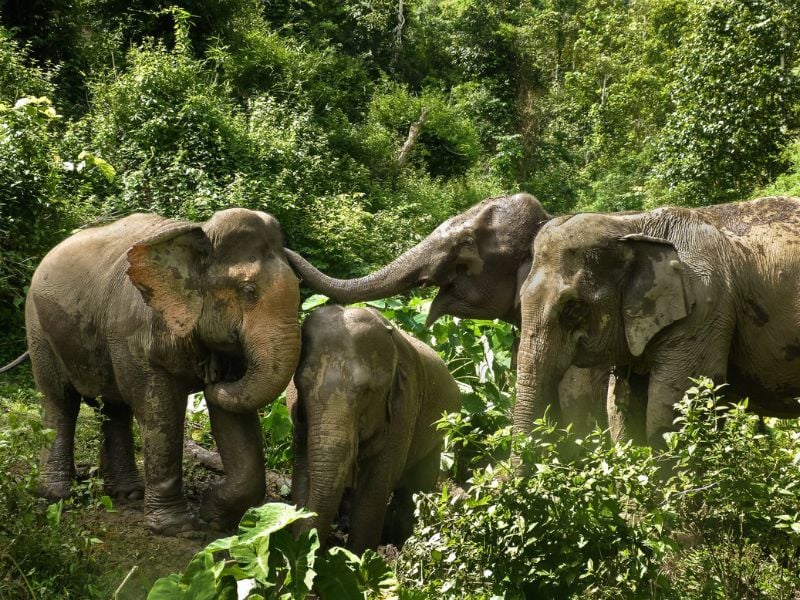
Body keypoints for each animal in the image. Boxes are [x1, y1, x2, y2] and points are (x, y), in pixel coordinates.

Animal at [23, 208, 301, 534]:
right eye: (249, 291)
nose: (210, 377)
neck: (200, 235)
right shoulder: (137, 331)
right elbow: (158, 409)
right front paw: (180, 528)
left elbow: (232, 416)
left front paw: (213, 518)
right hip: (39, 327)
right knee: (60, 400)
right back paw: (57, 495)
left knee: (114, 407)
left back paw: (128, 493)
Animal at [288, 305, 461, 552]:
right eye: (300, 384)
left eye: (367, 391)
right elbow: (303, 473)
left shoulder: (403, 409)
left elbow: (373, 490)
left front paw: (358, 559)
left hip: (438, 431)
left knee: (416, 487)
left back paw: (402, 543)